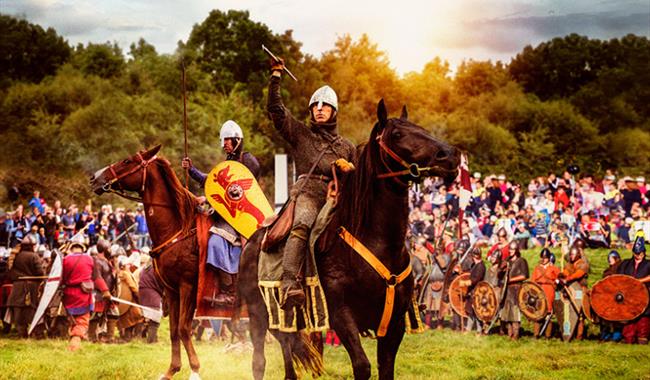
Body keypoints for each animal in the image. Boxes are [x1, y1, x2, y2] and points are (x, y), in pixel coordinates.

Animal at [239, 99, 460, 378]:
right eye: (398, 135)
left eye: (421, 129)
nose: (451, 155)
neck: (379, 242)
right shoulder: (342, 316)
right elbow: (362, 366)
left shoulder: (395, 324)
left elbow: (386, 368)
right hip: (258, 313)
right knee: (260, 360)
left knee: (289, 351)